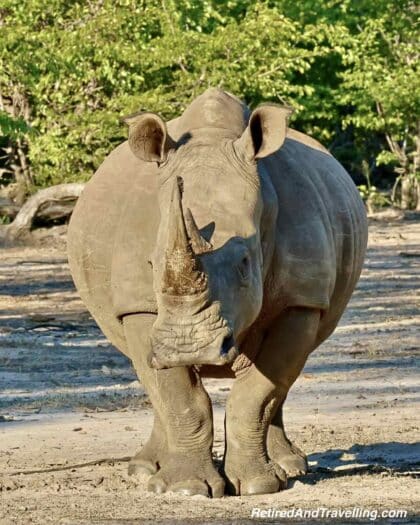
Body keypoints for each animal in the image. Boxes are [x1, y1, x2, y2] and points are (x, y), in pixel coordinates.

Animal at [67, 88, 366, 498]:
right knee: (151, 375)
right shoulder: (138, 308)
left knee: (284, 380)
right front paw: (185, 489)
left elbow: (258, 392)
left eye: (244, 262)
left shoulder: (302, 300)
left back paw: (290, 466)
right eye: (151, 262)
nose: (187, 346)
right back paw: (145, 471)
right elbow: (177, 395)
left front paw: (258, 485)